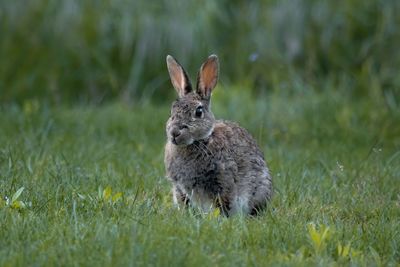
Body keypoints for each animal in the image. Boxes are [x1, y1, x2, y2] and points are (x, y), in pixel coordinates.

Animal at [163, 55, 272, 217]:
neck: (200, 141)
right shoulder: (179, 188)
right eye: (172, 111)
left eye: (198, 112)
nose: (174, 132)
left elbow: (223, 203)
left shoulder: (223, 182)